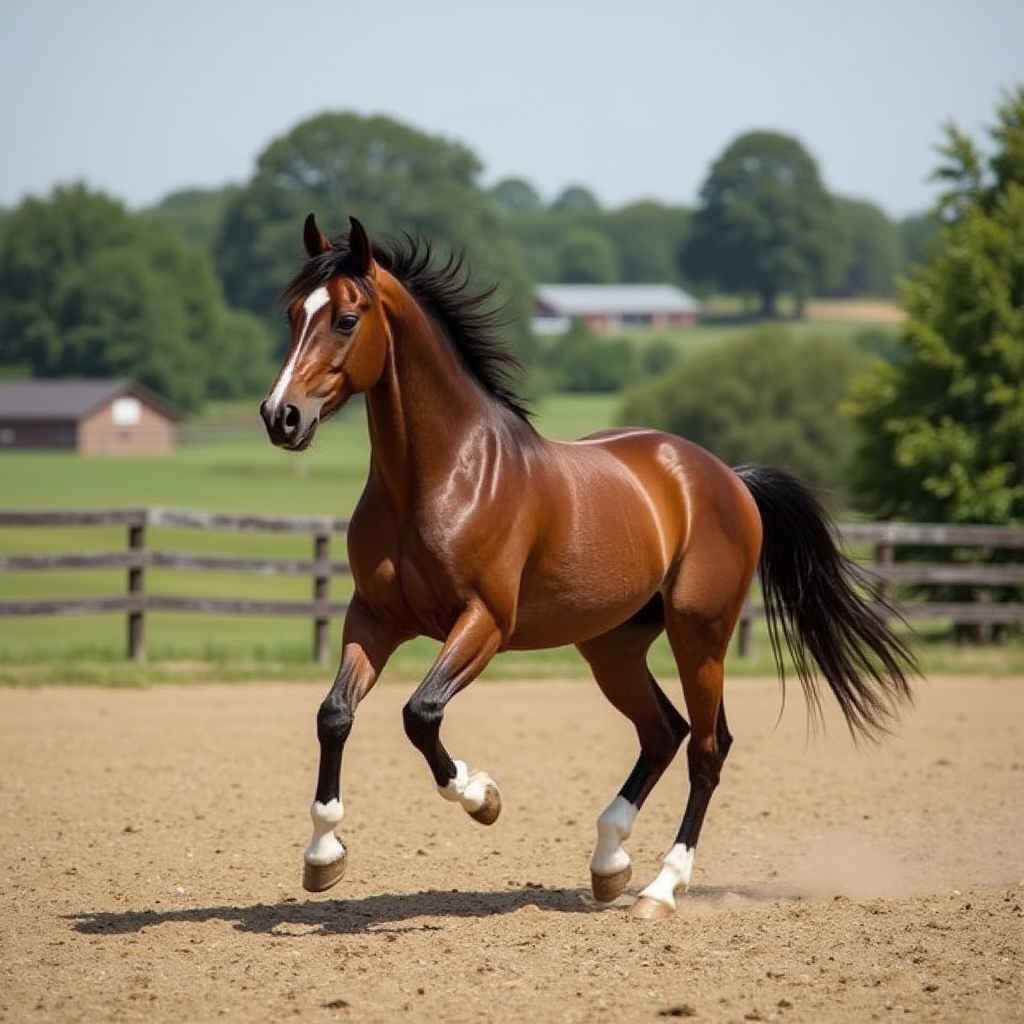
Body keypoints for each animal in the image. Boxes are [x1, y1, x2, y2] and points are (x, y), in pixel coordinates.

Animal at [259, 214, 915, 920]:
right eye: (294, 313)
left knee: (707, 747)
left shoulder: (484, 622)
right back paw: (609, 863)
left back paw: (660, 889)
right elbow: (334, 714)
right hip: (612, 646)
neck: (441, 478)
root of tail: (726, 477)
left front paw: (483, 797)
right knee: (663, 731)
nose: (280, 417)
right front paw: (323, 855)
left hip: (700, 634)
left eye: (347, 319)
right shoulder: (375, 617)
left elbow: (421, 713)